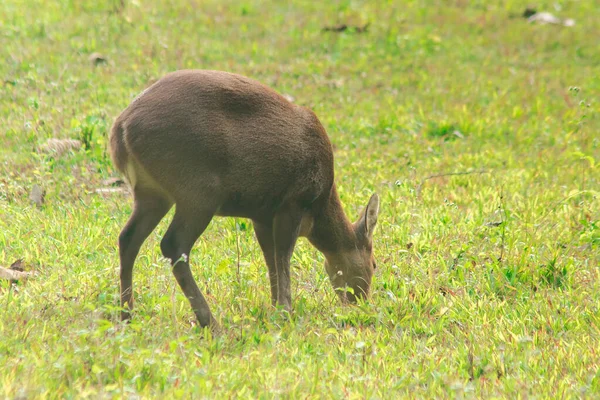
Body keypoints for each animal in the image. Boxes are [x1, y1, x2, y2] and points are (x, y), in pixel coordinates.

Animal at [108, 69, 380, 332]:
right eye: (374, 264)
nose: (361, 301)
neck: (319, 208)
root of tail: (120, 131)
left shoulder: (262, 215)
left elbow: (271, 260)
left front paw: (274, 308)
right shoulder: (293, 202)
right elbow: (283, 257)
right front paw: (285, 312)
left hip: (152, 193)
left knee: (128, 238)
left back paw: (127, 314)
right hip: (199, 191)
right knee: (173, 244)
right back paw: (211, 323)